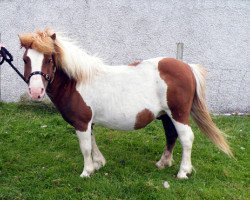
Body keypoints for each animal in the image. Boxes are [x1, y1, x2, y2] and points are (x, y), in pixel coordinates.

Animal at [18, 28, 231, 180]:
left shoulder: (81, 122)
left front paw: (87, 171)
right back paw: (163, 163)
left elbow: (85, 147)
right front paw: (98, 164)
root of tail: (186, 67)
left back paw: (183, 172)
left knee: (186, 138)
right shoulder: (88, 122)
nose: (36, 92)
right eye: (26, 59)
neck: (76, 82)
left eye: (49, 58)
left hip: (178, 114)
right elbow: (92, 142)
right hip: (166, 115)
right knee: (171, 136)